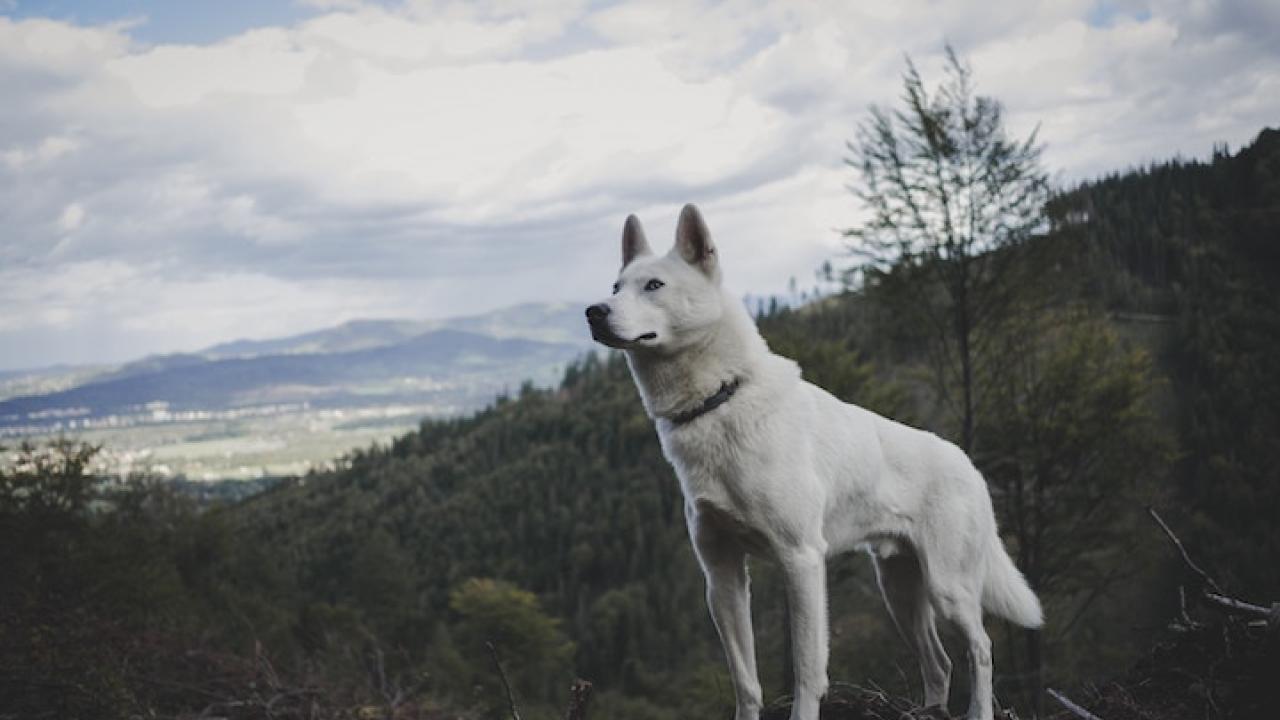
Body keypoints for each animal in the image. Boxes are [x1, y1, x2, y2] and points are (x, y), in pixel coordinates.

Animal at [586, 203, 1039, 717]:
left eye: (654, 285)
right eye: (616, 286)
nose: (593, 312)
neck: (719, 399)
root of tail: (968, 464)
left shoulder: (801, 560)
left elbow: (806, 671)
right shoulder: (722, 575)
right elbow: (746, 681)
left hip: (949, 588)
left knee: (980, 648)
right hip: (899, 591)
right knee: (939, 661)